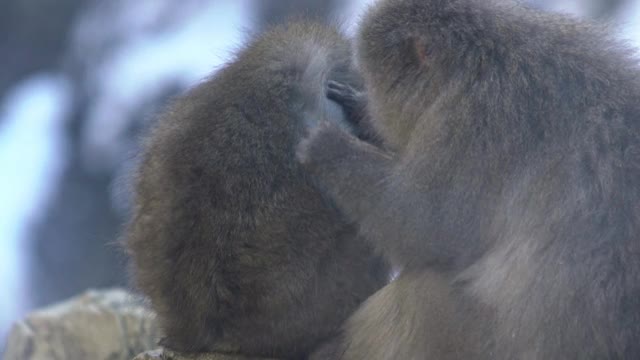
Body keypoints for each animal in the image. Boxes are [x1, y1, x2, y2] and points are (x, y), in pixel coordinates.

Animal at [298, 0, 640, 358]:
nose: (375, 106)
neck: (481, 58)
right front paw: (359, 109)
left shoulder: (477, 122)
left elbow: (423, 222)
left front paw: (329, 148)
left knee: (422, 291)